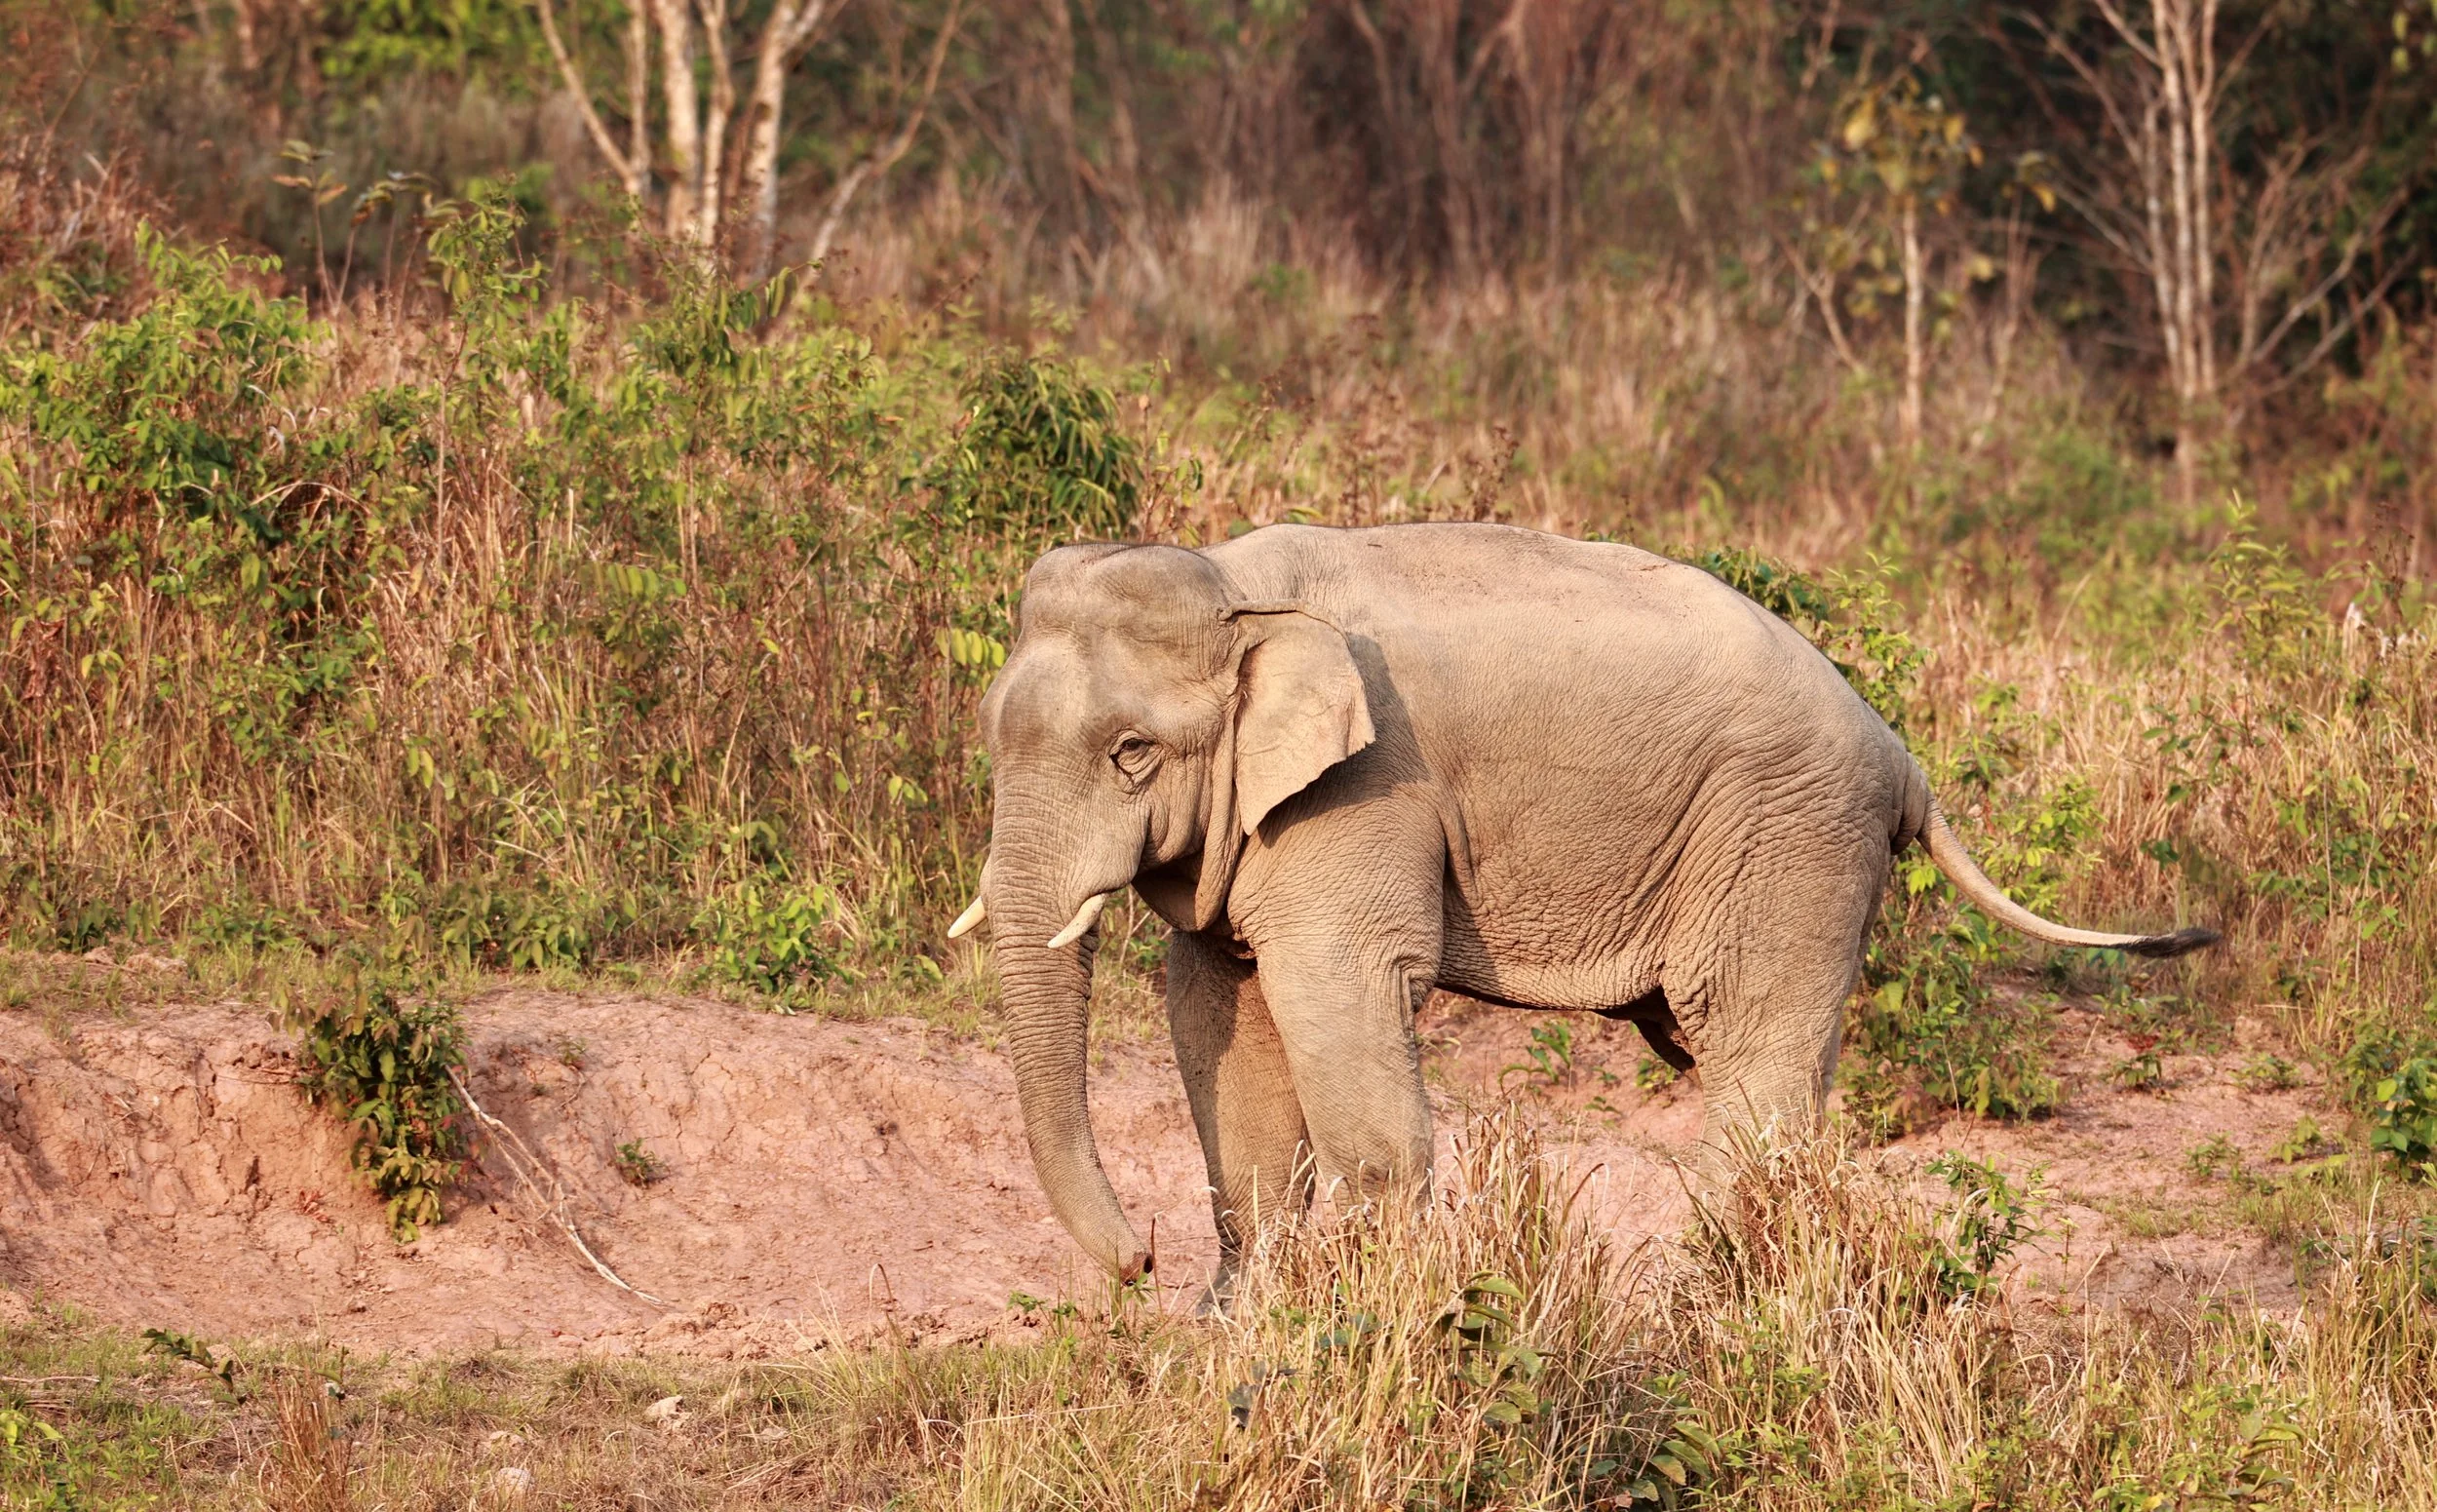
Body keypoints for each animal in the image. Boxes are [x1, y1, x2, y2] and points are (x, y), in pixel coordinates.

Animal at [948, 521, 2218, 1283]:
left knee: (1753, 1059)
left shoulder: (1364, 793)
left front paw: (1368, 1320)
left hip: (1791, 837)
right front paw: (1244, 1329)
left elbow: (1342, 990)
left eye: (1131, 754)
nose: (1139, 1266)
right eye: (989, 732)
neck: (1236, 591)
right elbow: (1222, 1013)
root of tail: (1901, 755)